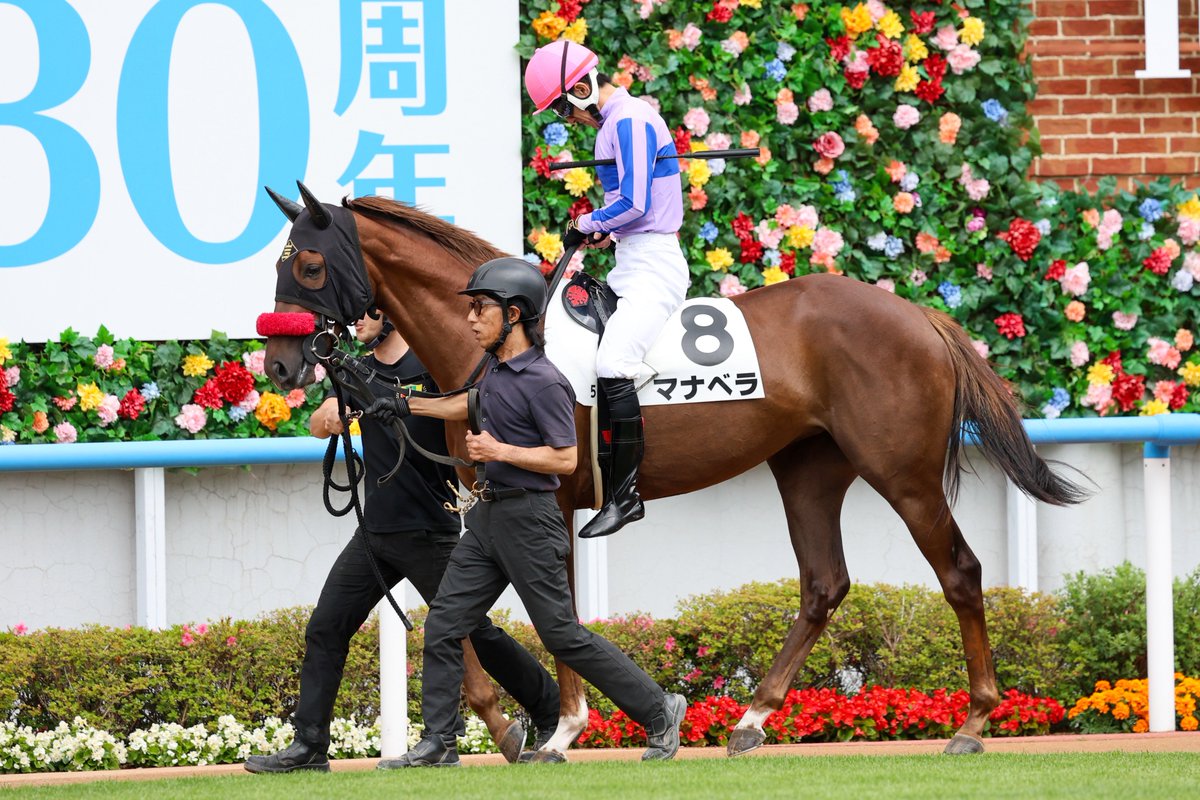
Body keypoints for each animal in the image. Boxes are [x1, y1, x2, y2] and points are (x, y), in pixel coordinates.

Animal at [260, 187, 1086, 761]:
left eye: (306, 263)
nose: (279, 363)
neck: (498, 346)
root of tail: (919, 315)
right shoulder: (483, 501)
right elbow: (457, 613)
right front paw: (497, 725)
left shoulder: (551, 501)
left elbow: (549, 614)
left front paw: (562, 729)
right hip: (808, 470)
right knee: (824, 584)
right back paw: (753, 718)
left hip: (902, 473)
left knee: (959, 571)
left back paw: (974, 720)